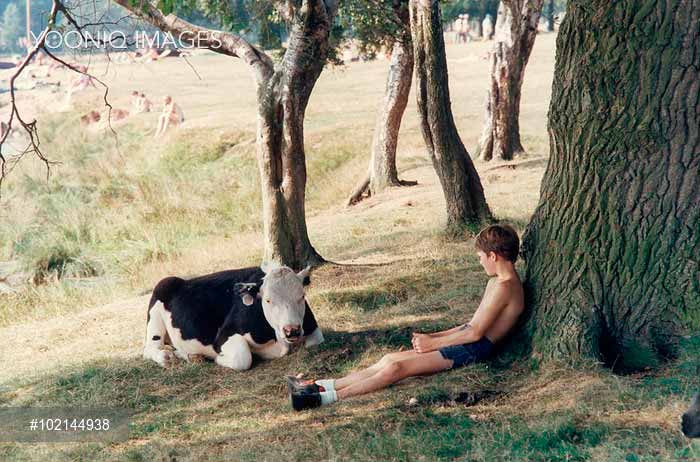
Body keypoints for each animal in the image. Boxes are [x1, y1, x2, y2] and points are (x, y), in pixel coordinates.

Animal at [143, 266, 328, 370]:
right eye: (268, 300)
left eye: (302, 296)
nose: (292, 330)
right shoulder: (223, 336)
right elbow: (243, 357)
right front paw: (217, 358)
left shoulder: (311, 328)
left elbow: (316, 340)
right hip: (157, 307)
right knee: (149, 349)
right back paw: (169, 357)